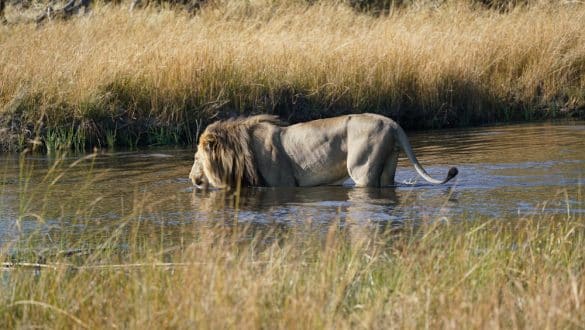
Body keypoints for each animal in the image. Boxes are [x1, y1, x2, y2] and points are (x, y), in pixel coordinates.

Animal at [189, 113, 458, 189]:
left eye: (195, 158)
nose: (191, 178)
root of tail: (393, 124)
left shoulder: (283, 184)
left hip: (362, 169)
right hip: (388, 165)